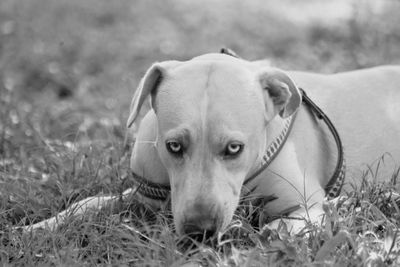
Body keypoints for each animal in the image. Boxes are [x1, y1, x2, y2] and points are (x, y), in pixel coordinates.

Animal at [20, 52, 400, 239]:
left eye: (234, 148)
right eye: (174, 146)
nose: (199, 231)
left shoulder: (307, 205)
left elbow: (286, 225)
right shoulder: (145, 193)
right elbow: (88, 203)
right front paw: (40, 227)